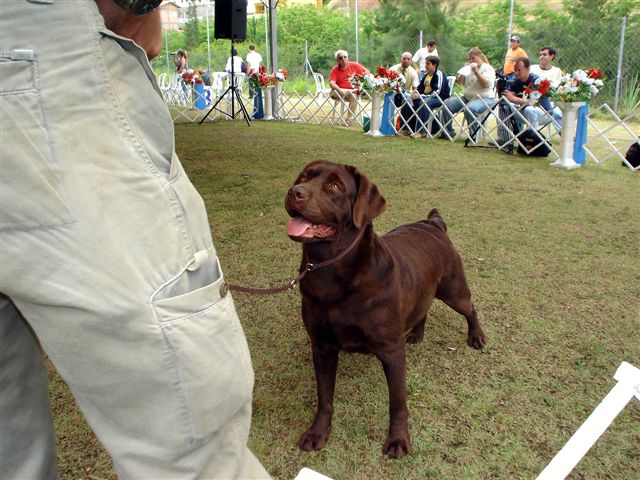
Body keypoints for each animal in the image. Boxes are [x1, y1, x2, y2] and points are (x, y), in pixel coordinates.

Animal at [285, 160, 487, 459]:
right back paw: (416, 333)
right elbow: (324, 397)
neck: (331, 272)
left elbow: (397, 402)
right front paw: (318, 432)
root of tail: (433, 223)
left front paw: (398, 439)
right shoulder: (321, 346)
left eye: (335, 186)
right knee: (423, 307)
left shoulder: (391, 351)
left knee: (470, 308)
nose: (295, 192)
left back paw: (476, 336)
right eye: (303, 177)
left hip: (453, 289)